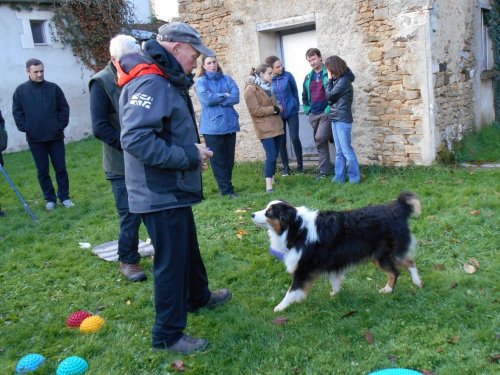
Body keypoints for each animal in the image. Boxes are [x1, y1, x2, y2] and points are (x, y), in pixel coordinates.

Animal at [252, 192, 424, 312]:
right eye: (266, 208)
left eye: (270, 212)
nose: (252, 214)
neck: (296, 228)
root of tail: (396, 209)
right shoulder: (331, 261)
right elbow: (334, 279)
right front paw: (335, 293)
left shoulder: (303, 269)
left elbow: (291, 291)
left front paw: (280, 307)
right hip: (384, 254)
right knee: (407, 263)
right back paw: (414, 283)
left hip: (383, 254)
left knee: (398, 269)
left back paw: (392, 288)